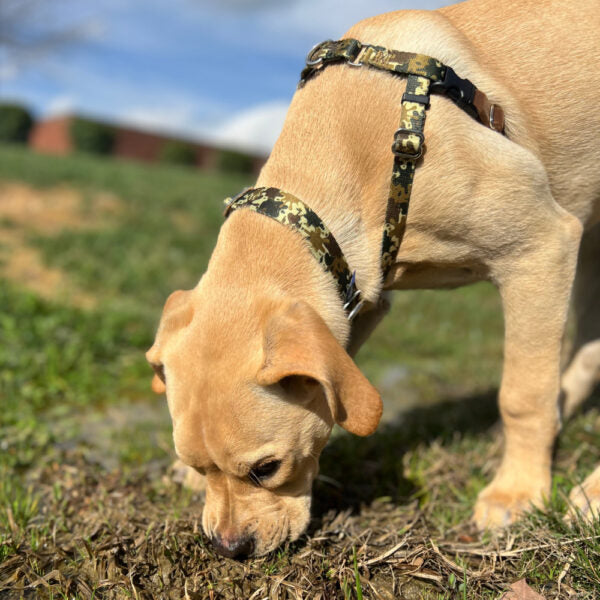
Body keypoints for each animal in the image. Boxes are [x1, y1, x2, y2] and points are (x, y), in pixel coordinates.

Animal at [146, 0, 600, 556]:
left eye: (267, 468)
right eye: (198, 463)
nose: (229, 550)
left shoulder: (541, 245)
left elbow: (523, 394)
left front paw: (517, 493)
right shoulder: (355, 296)